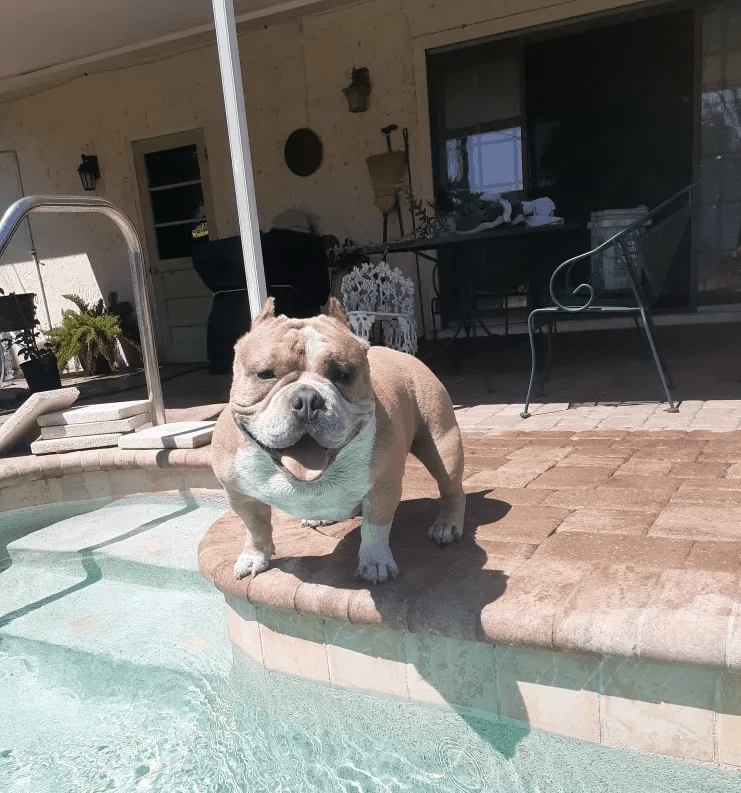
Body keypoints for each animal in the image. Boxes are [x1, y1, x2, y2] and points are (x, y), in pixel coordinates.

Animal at [208, 296, 462, 580]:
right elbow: (255, 527)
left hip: (443, 445)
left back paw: (447, 525)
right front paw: (254, 556)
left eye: (342, 374)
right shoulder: (238, 494)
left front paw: (375, 561)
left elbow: (376, 527)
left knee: (451, 488)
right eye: (265, 374)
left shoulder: (383, 485)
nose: (307, 399)